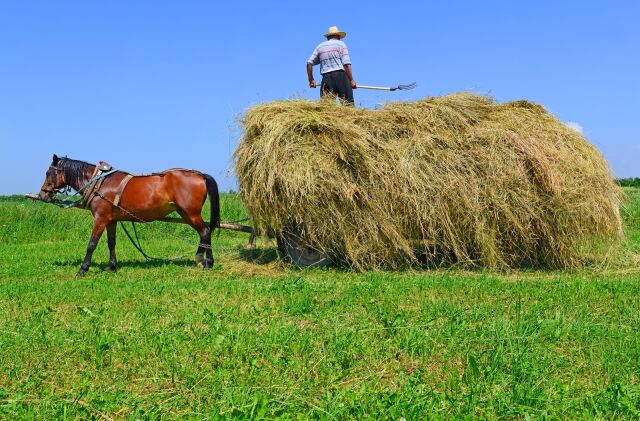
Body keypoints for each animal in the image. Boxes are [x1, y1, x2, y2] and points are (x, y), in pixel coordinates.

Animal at [40, 155, 221, 276]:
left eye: (48, 173)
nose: (43, 194)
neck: (100, 184)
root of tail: (200, 175)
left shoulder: (100, 218)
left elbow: (92, 244)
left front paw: (83, 269)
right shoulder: (110, 220)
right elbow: (111, 243)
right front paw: (111, 266)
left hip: (191, 213)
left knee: (205, 232)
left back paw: (208, 262)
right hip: (185, 213)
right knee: (203, 233)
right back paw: (199, 259)